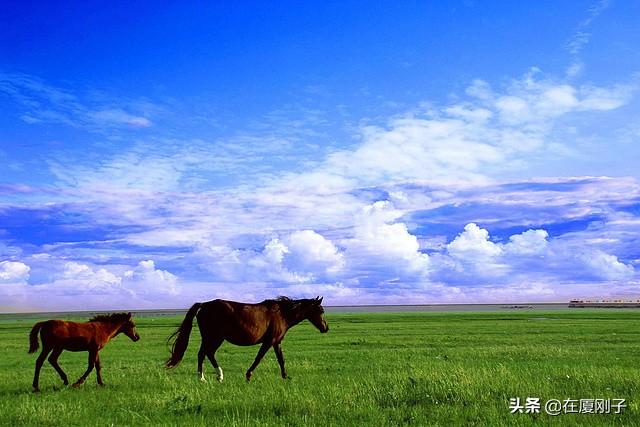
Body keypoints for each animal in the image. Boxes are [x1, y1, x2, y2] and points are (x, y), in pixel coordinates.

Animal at [165, 296, 330, 382]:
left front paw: (285, 376)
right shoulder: (269, 341)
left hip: (216, 338)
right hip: (213, 337)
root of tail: (204, 305)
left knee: (208, 354)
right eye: (321, 310)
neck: (282, 314)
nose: (326, 328)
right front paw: (248, 375)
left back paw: (219, 376)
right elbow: (258, 358)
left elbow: (281, 359)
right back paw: (202, 378)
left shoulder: (276, 342)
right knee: (203, 354)